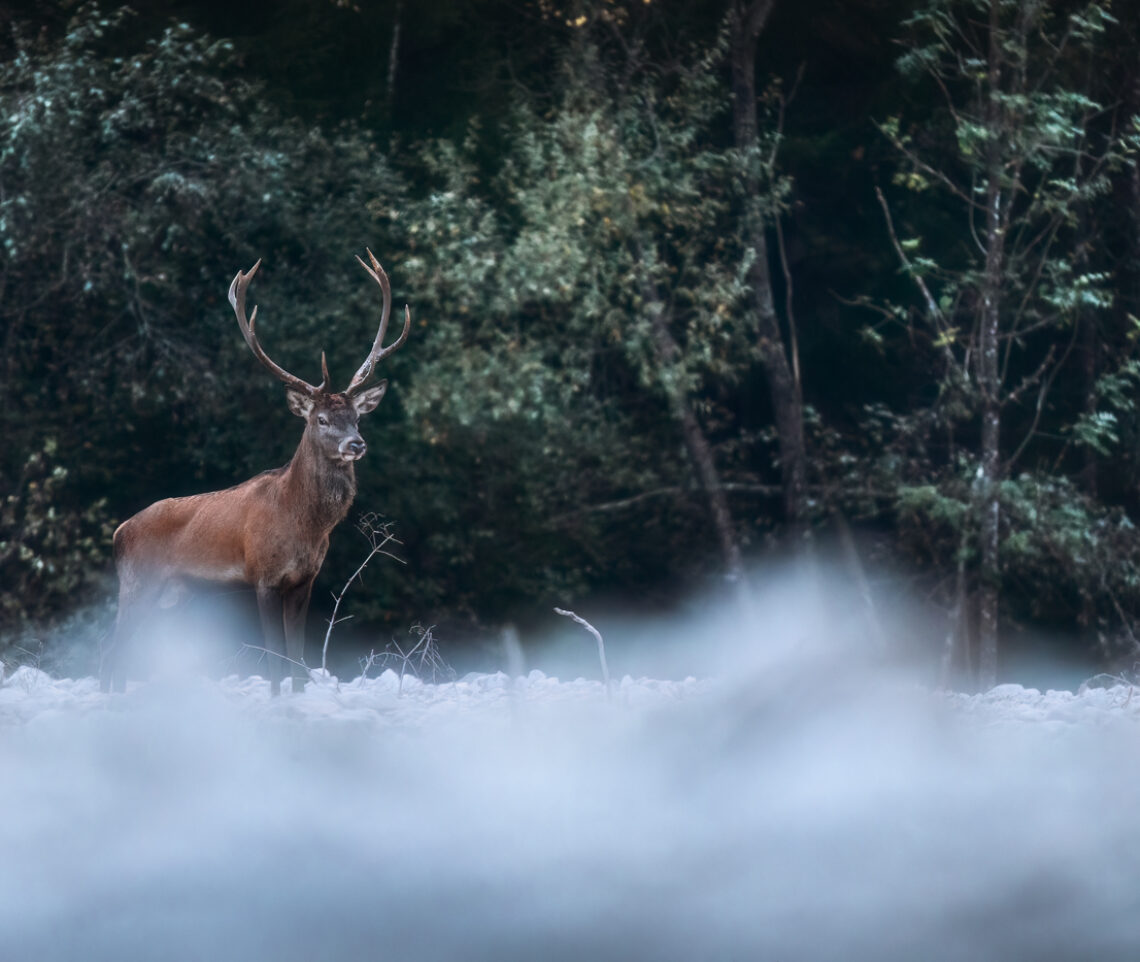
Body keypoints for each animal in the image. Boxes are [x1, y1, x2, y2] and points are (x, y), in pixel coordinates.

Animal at [102, 251, 412, 693]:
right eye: (320, 419)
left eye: (356, 418)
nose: (356, 445)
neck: (303, 524)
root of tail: (119, 531)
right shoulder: (263, 574)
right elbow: (275, 660)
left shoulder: (304, 580)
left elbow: (297, 658)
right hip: (137, 582)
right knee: (109, 650)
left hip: (172, 595)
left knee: (125, 653)